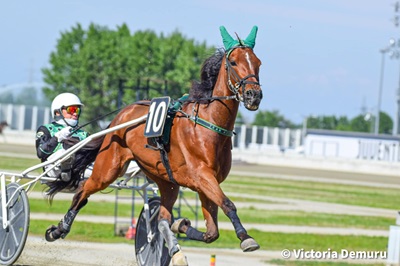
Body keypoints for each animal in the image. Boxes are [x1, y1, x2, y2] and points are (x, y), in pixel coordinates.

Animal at [44, 25, 262, 266]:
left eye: (258, 63)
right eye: (233, 62)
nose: (254, 95)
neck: (208, 125)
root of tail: (121, 115)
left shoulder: (207, 182)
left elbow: (211, 232)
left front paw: (181, 225)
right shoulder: (202, 176)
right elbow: (228, 204)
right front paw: (246, 238)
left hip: (165, 180)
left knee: (162, 218)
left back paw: (174, 247)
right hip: (108, 168)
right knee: (82, 190)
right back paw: (59, 229)